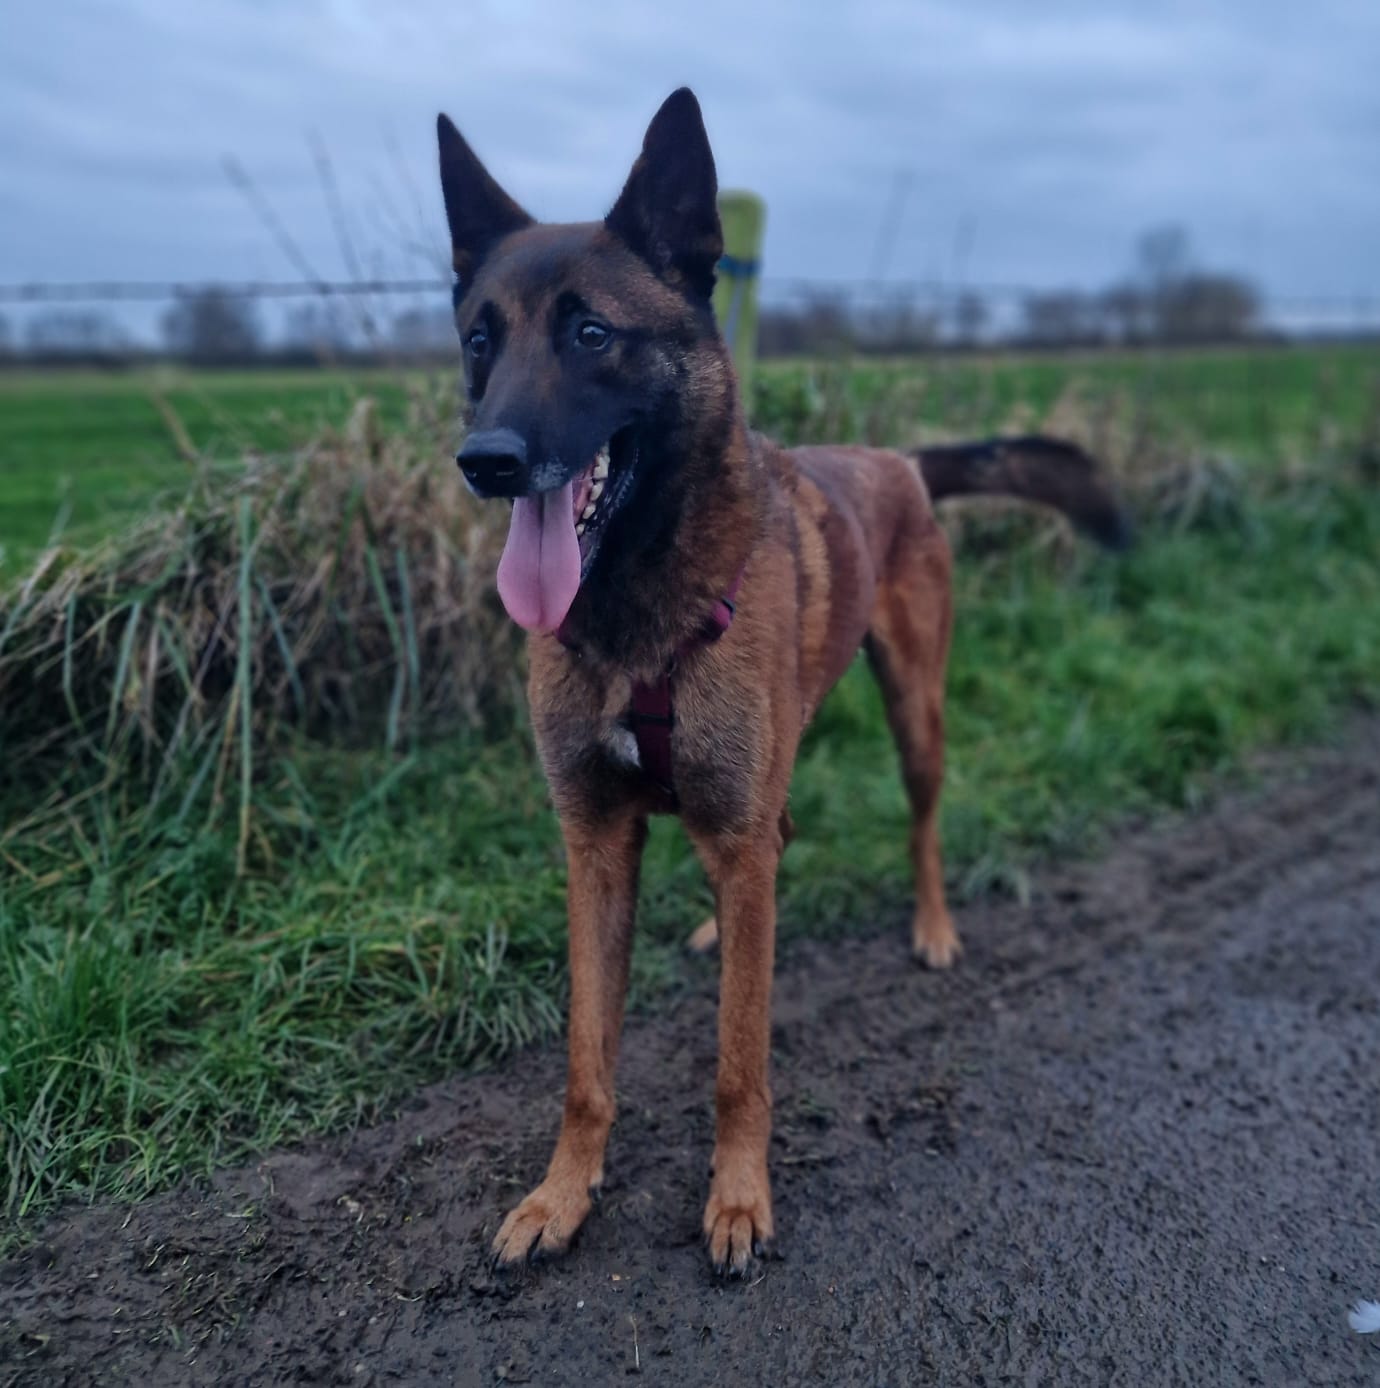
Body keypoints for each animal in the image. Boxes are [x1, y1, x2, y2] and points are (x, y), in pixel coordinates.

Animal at [437, 88, 1127, 1275]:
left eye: (590, 333)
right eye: (481, 338)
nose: (488, 460)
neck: (635, 616)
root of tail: (899, 461)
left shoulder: (722, 822)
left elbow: (737, 1059)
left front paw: (737, 1197)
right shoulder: (595, 843)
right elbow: (586, 1061)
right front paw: (563, 1194)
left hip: (914, 715)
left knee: (917, 822)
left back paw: (931, 927)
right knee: (775, 845)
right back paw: (727, 926)